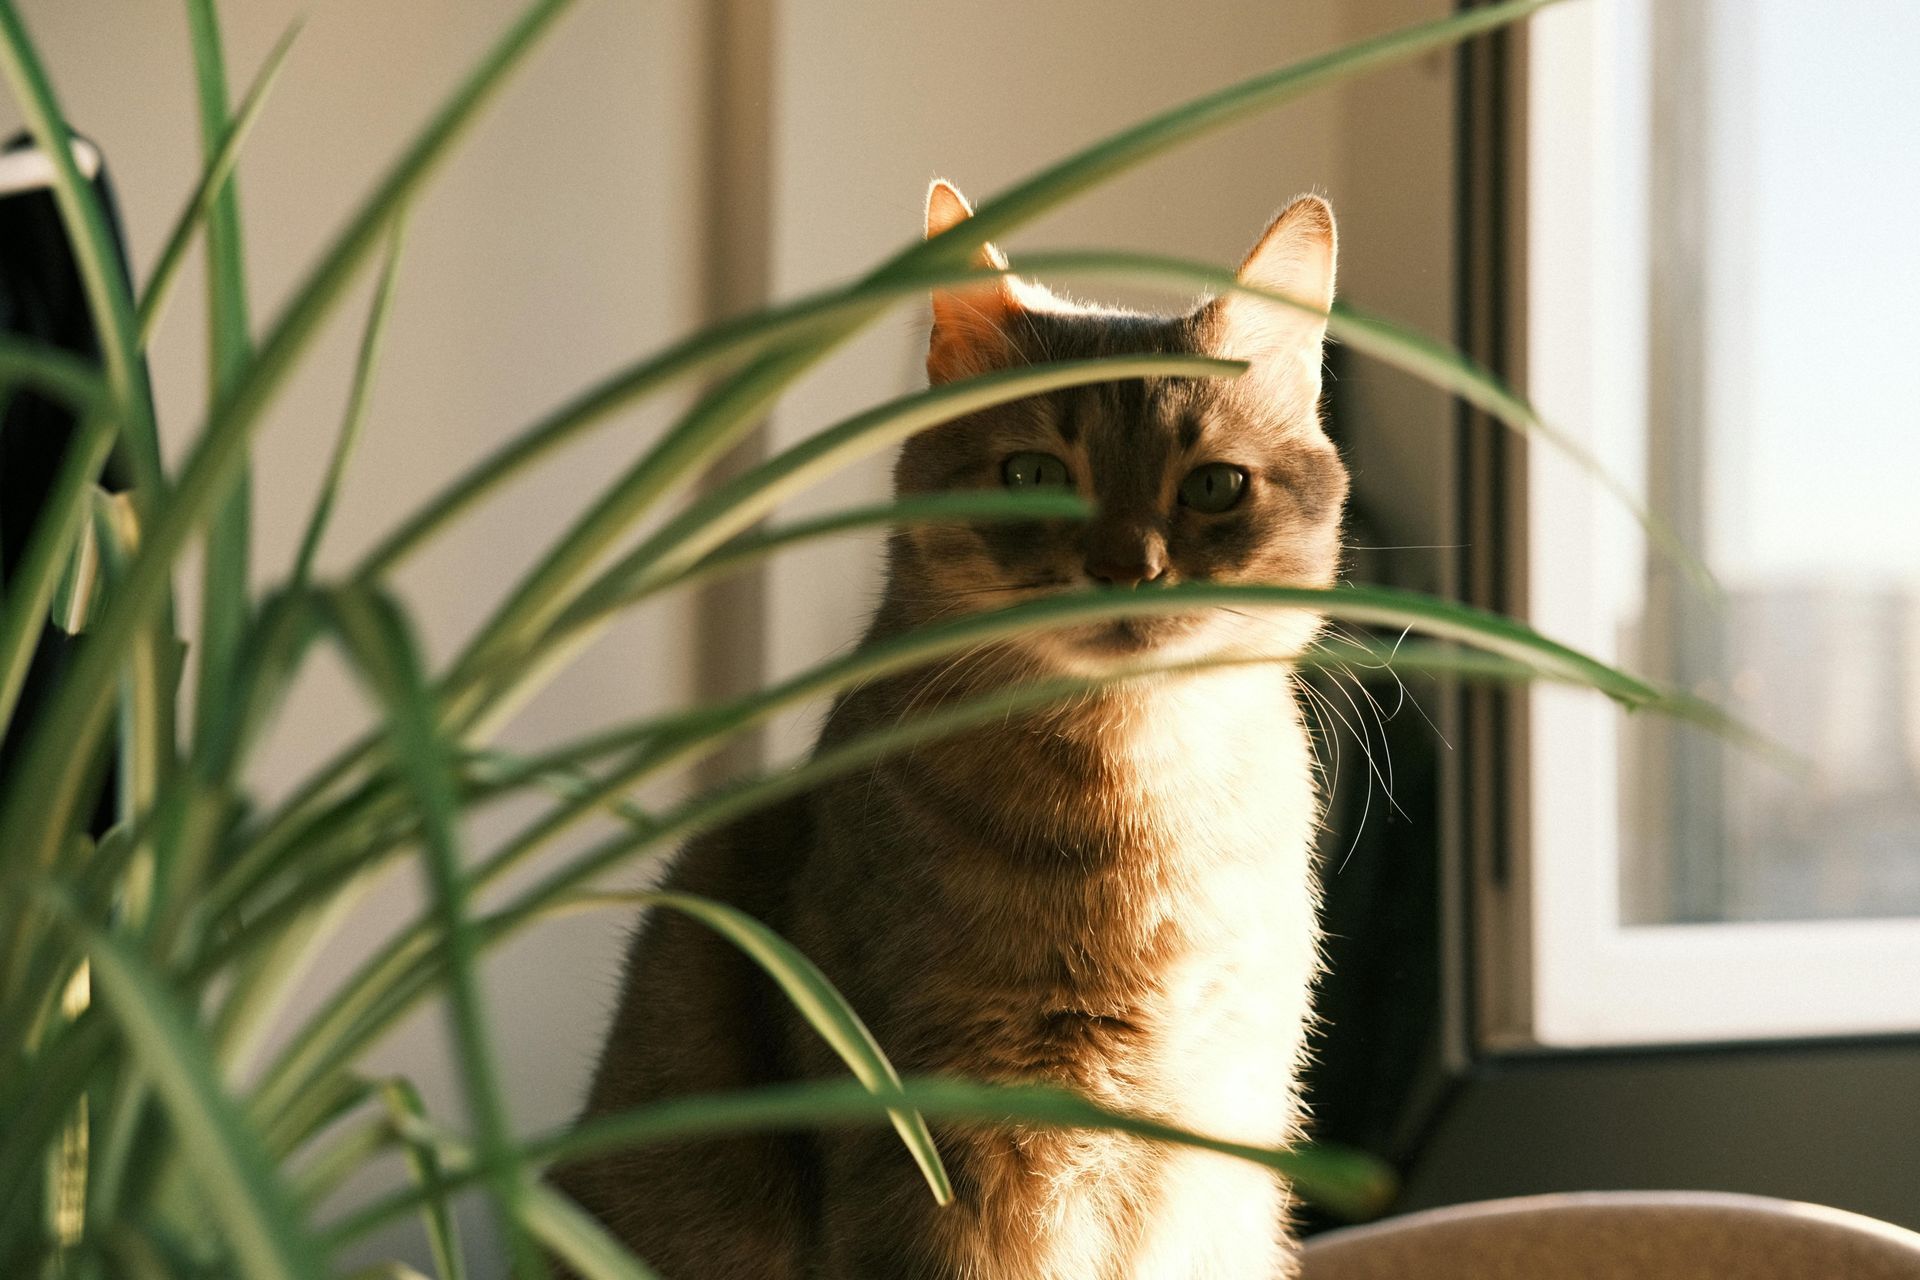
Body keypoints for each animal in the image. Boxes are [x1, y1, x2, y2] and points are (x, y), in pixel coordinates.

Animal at [556, 182, 1351, 1280]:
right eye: (1031, 475)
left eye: (1214, 485)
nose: (1128, 567)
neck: (1140, 803)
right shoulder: (930, 1147)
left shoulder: (1219, 1145)